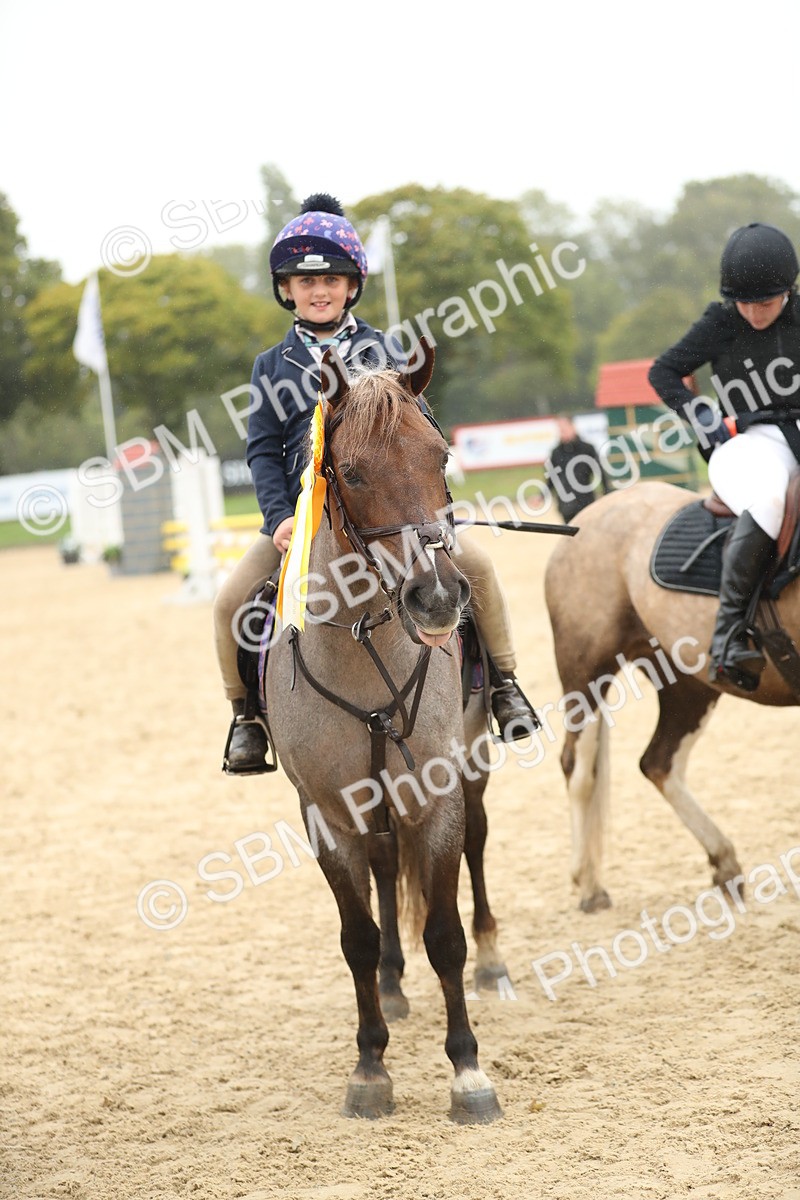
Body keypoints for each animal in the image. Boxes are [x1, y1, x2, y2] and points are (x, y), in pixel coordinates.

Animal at [264, 338, 505, 1123]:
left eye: (441, 456)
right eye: (354, 471)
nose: (436, 597)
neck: (367, 642)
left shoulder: (435, 796)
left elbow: (445, 935)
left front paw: (468, 1072)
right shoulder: (327, 812)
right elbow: (358, 938)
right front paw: (370, 1066)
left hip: (472, 769)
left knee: (478, 849)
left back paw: (494, 960)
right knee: (383, 869)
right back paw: (396, 988)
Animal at [543, 479, 800, 914]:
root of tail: (582, 522)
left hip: (688, 684)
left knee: (659, 762)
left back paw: (724, 862)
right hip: (586, 675)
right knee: (579, 770)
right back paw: (589, 885)